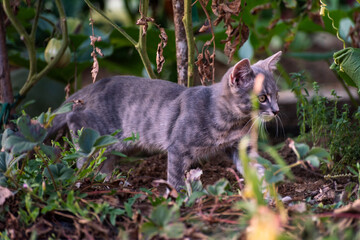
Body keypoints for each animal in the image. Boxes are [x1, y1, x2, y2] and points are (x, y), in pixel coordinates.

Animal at [49, 51, 282, 190]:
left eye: (277, 95)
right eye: (262, 98)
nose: (277, 110)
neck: (229, 124)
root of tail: (96, 84)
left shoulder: (239, 147)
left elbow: (257, 167)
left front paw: (270, 192)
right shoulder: (177, 147)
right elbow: (175, 176)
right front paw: (180, 199)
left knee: (105, 159)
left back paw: (106, 179)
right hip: (97, 131)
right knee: (75, 122)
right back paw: (83, 176)